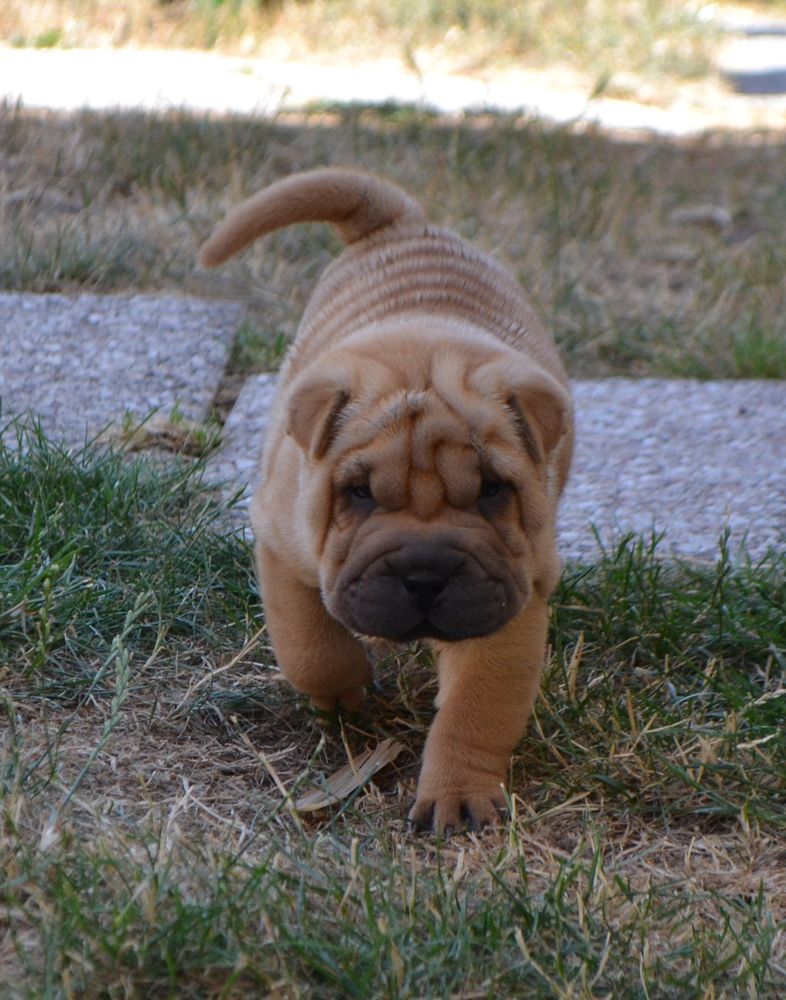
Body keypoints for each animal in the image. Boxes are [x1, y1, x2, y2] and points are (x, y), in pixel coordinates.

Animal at [199, 168, 572, 832]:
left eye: (493, 491)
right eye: (359, 494)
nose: (424, 574)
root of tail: (405, 223)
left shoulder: (510, 595)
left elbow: (478, 707)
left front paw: (457, 795)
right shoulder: (282, 543)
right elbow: (310, 645)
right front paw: (342, 698)